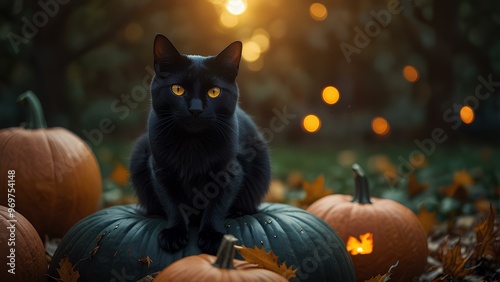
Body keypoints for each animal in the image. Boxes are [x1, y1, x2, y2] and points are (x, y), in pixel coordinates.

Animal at [129, 34, 270, 253]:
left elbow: (217, 206)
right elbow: (173, 204)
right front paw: (174, 234)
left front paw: (212, 237)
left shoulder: (229, 173)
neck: (192, 144)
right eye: (177, 89)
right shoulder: (160, 170)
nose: (195, 109)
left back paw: (237, 213)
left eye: (214, 92)